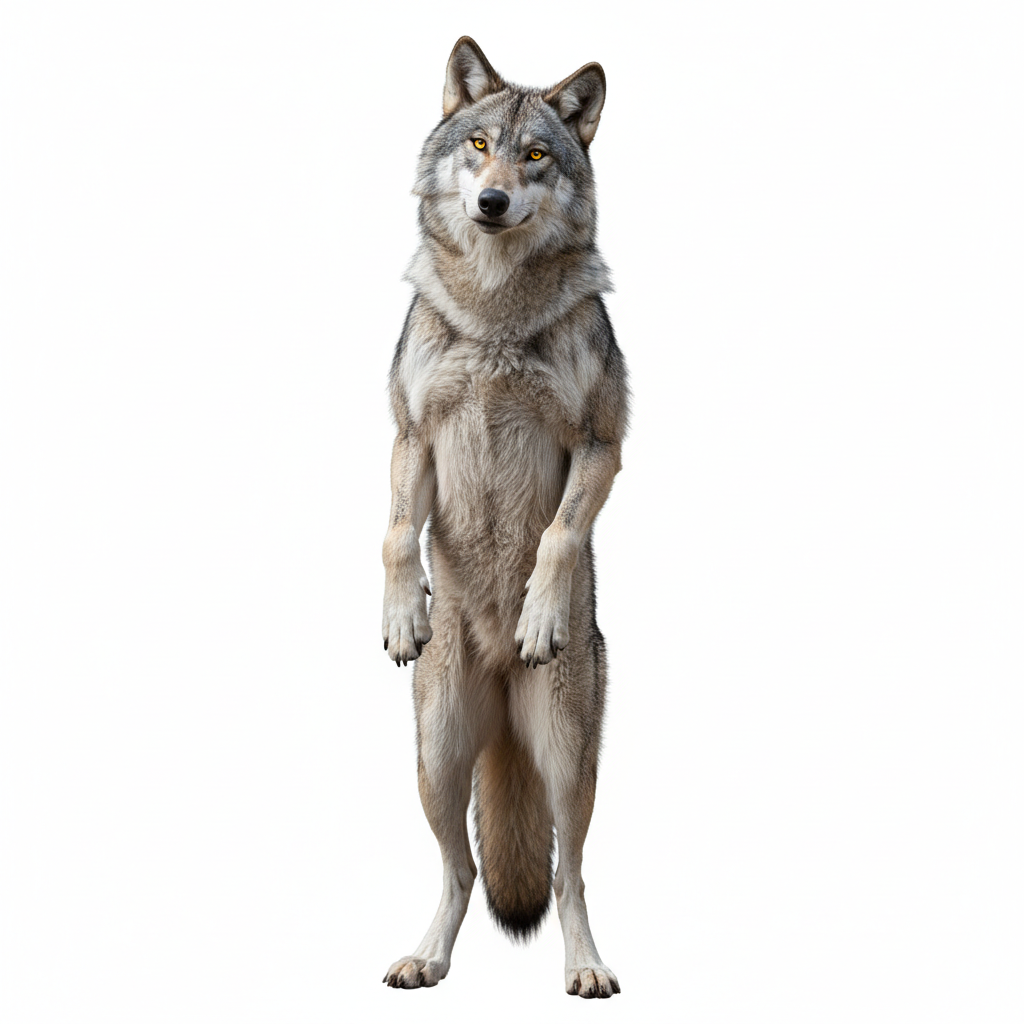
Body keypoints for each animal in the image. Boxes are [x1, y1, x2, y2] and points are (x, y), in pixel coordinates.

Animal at [380, 36, 628, 999]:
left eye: (535, 156)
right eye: (480, 146)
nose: (490, 203)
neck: (492, 314)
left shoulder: (602, 439)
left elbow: (560, 534)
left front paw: (539, 616)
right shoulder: (412, 432)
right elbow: (394, 534)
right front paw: (402, 613)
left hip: (563, 752)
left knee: (568, 875)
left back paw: (588, 968)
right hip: (439, 754)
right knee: (461, 870)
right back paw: (426, 958)